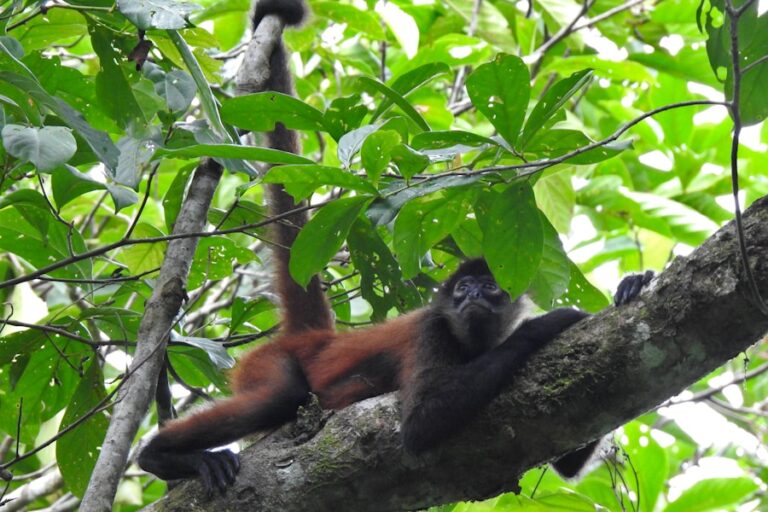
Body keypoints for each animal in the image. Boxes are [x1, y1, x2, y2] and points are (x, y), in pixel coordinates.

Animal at [137, 0, 653, 495]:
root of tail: (317, 338)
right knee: (278, 397)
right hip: (267, 362)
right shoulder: (432, 329)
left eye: (489, 287)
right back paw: (159, 456)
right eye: (462, 289)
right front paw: (551, 323)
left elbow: (567, 460)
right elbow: (421, 425)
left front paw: (631, 286)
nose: (470, 297)